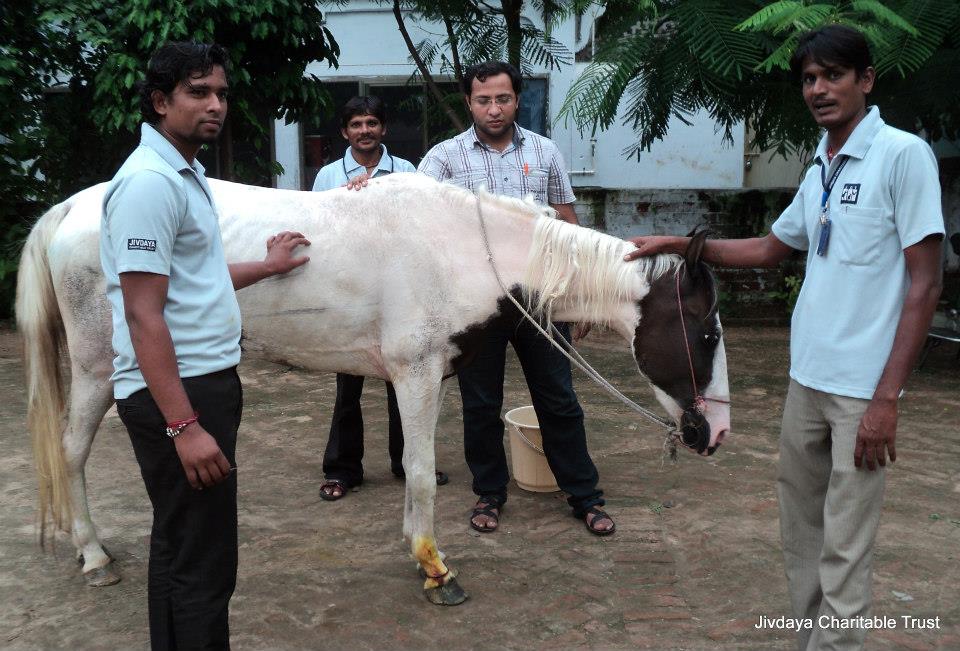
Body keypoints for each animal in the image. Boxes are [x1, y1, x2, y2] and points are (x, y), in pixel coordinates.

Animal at [16, 172, 730, 606]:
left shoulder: (424, 378)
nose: (715, 432)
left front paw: (422, 556)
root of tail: (75, 208)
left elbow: (418, 470)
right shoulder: (415, 374)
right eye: (706, 334)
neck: (459, 245)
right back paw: (92, 554)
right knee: (73, 451)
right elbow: (419, 473)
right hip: (98, 371)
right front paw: (435, 568)